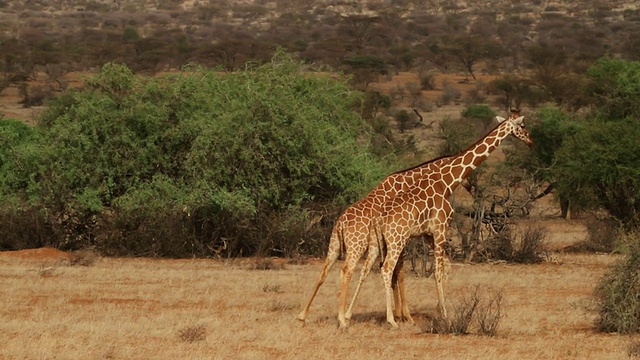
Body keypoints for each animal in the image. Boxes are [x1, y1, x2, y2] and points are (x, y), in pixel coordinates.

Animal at [372, 114, 532, 328]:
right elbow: (438, 271)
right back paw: (393, 318)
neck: (446, 180)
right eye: (522, 125)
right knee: (388, 269)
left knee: (388, 269)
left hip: (389, 241)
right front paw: (445, 315)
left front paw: (440, 309)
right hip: (397, 239)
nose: (531, 140)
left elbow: (445, 268)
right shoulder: (440, 230)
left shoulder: (429, 233)